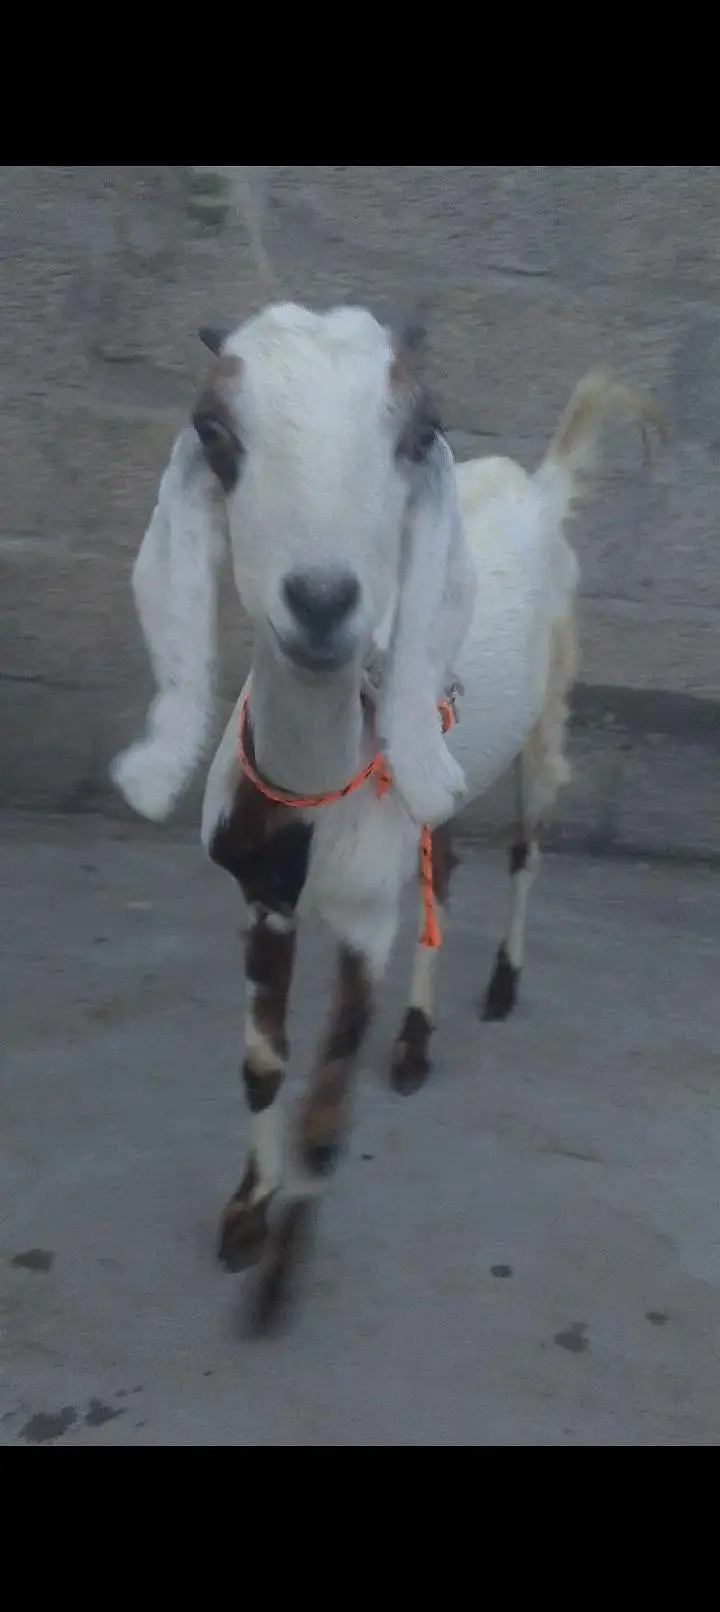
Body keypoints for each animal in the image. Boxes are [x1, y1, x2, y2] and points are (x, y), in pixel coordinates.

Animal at [111, 302, 663, 1323]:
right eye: (216, 432)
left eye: (417, 433)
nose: (324, 600)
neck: (311, 795)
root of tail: (542, 489)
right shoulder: (266, 900)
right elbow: (265, 1066)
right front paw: (246, 1216)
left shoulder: (365, 920)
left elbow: (328, 1104)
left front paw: (278, 1287)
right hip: (437, 772)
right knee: (446, 868)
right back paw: (414, 1042)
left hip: (549, 720)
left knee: (526, 850)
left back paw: (499, 987)